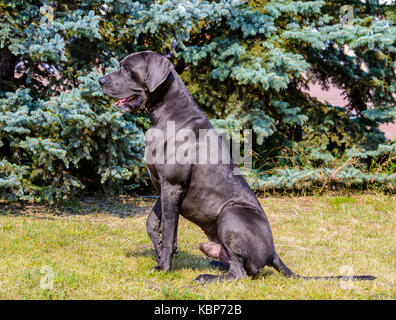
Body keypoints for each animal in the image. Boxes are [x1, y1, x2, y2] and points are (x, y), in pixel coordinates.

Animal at [100, 51, 376, 284]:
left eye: (127, 69)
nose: (101, 80)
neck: (167, 114)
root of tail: (274, 253)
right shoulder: (163, 186)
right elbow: (153, 224)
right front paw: (161, 252)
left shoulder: (173, 185)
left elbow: (168, 231)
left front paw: (163, 266)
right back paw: (215, 264)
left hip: (230, 214)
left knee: (239, 273)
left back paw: (208, 277)